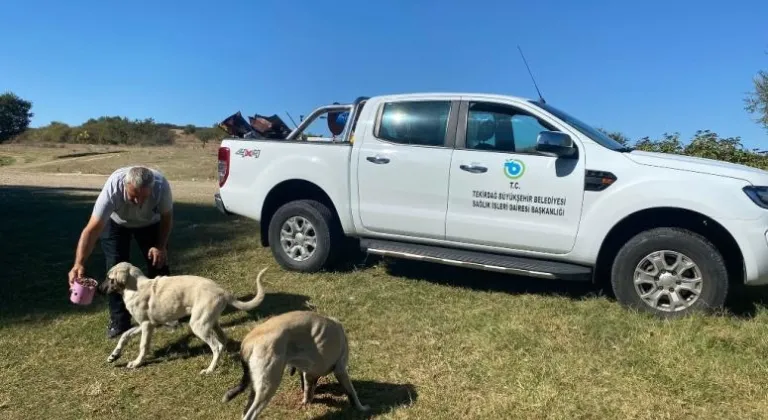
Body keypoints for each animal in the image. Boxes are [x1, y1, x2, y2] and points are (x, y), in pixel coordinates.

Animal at [99, 262, 268, 374]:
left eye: (109, 278)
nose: (98, 289)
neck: (135, 287)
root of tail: (222, 291)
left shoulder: (147, 326)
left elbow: (143, 346)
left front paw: (136, 363)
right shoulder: (148, 324)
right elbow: (124, 335)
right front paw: (114, 355)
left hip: (198, 325)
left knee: (216, 346)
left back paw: (209, 370)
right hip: (210, 322)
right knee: (223, 340)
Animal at [222, 310, 368, 418]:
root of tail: (248, 340)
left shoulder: (308, 373)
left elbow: (308, 389)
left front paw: (306, 401)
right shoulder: (340, 369)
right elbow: (352, 392)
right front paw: (361, 408)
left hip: (256, 387)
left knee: (246, 411)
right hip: (268, 386)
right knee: (251, 414)